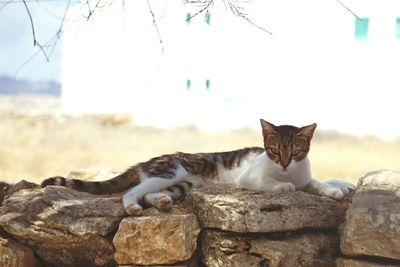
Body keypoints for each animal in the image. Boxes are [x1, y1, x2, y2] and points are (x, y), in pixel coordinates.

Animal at [40, 120, 354, 217]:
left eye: (296, 152)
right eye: (276, 152)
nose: (286, 165)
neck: (291, 171)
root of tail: (153, 159)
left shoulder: (306, 175)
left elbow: (316, 182)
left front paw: (335, 188)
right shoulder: (249, 178)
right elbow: (271, 184)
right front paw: (284, 186)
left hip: (183, 183)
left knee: (150, 193)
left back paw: (162, 202)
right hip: (172, 171)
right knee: (133, 191)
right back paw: (131, 206)